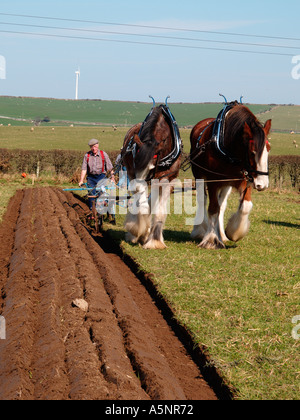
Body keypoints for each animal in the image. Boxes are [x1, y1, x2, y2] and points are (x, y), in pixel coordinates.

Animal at [120, 99, 182, 248]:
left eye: (152, 167)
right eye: (136, 163)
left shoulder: (167, 179)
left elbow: (159, 210)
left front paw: (155, 241)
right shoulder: (135, 174)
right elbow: (142, 206)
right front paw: (138, 231)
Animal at [190, 99, 272, 248]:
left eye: (268, 149)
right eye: (252, 152)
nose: (262, 184)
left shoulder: (246, 179)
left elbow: (245, 206)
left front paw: (233, 232)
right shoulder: (213, 181)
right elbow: (213, 208)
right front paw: (211, 239)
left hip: (226, 183)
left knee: (222, 205)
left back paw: (221, 234)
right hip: (199, 175)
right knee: (203, 200)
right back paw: (200, 230)